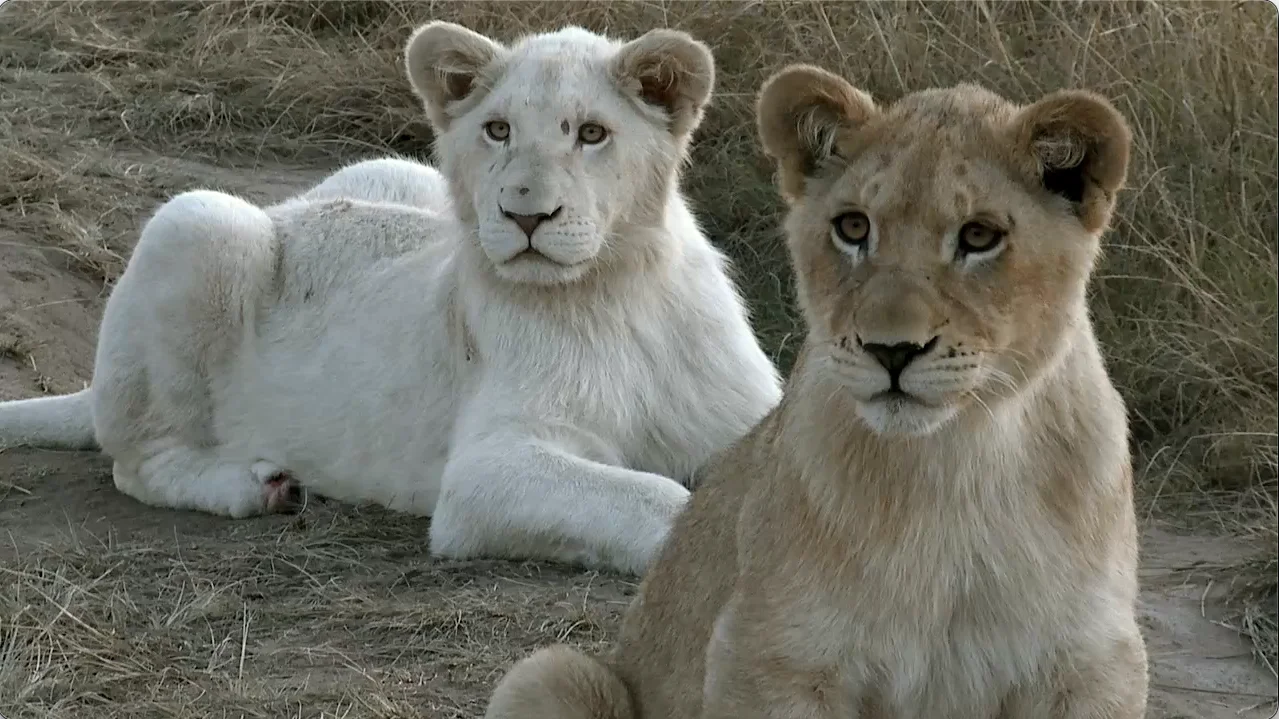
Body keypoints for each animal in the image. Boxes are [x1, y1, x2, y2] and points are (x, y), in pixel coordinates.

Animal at [0, 22, 784, 576]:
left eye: (592, 133)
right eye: (497, 129)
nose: (525, 215)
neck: (619, 289)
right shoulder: (485, 473)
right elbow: (661, 500)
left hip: (394, 170)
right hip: (195, 223)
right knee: (139, 461)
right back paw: (259, 487)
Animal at [481, 64, 1149, 718]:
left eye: (980, 236)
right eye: (853, 227)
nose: (891, 350)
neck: (955, 463)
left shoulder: (1095, 664)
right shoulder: (768, 654)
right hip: (553, 672)